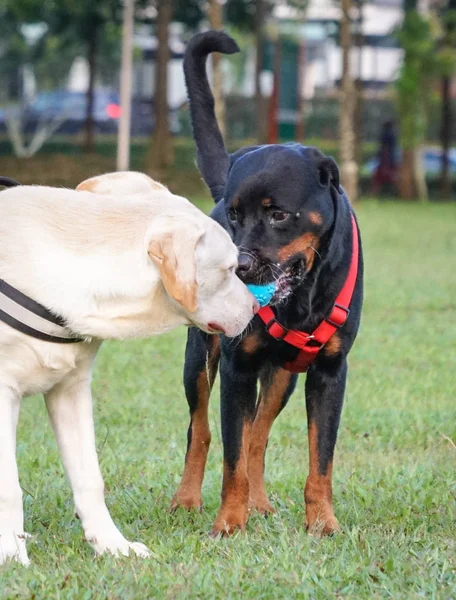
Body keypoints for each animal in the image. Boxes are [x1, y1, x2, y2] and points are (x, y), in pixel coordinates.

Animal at [0, 171, 256, 564]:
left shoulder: (71, 390)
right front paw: (14, 558)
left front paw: (112, 546)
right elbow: (8, 487)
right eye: (230, 269)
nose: (257, 308)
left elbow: (90, 478)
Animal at [170, 30, 364, 536]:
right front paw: (228, 524)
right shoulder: (237, 365)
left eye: (279, 214)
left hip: (284, 376)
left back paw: (261, 504)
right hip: (200, 358)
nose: (237, 264)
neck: (301, 298)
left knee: (259, 434)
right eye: (236, 215)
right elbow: (231, 456)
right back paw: (187, 500)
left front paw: (322, 523)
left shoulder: (330, 371)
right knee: (201, 429)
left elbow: (320, 459)